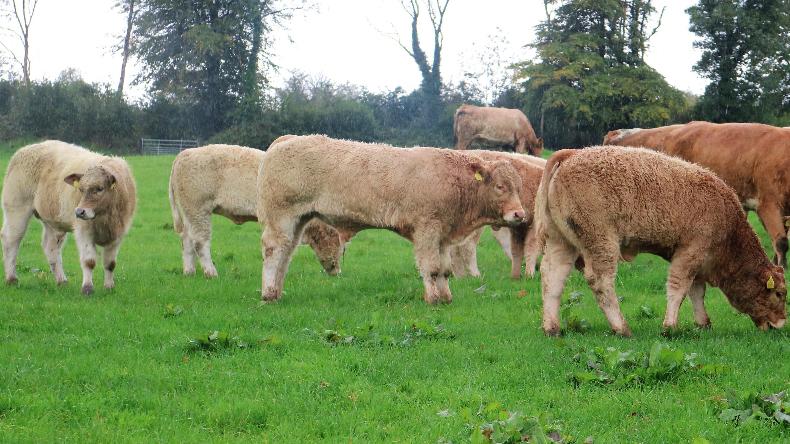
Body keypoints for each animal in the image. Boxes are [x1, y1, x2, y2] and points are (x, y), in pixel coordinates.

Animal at [1, 140, 137, 295]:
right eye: (81, 189)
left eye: (100, 188)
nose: (79, 211)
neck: (105, 217)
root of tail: (26, 148)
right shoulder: (83, 231)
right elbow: (89, 261)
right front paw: (87, 288)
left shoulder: (118, 233)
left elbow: (110, 263)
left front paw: (109, 287)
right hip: (16, 209)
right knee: (11, 240)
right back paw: (11, 279)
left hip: (51, 221)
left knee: (50, 247)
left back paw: (62, 281)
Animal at [168, 143, 347, 277]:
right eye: (340, 246)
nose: (337, 271)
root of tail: (184, 153)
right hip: (198, 209)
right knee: (200, 241)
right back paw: (211, 273)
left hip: (190, 213)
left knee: (186, 239)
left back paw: (189, 272)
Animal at [257, 135, 526, 304]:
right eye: (500, 186)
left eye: (518, 187)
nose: (519, 214)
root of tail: (287, 139)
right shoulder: (427, 229)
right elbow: (431, 267)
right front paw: (433, 299)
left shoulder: (443, 235)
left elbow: (445, 269)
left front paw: (446, 297)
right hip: (281, 216)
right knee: (274, 251)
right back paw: (268, 294)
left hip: (298, 220)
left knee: (286, 253)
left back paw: (277, 291)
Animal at [536, 146, 786, 336]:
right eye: (779, 293)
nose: (781, 323)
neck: (728, 219)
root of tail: (570, 154)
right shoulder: (690, 252)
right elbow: (679, 287)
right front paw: (670, 326)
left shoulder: (697, 260)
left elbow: (697, 291)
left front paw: (703, 323)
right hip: (601, 243)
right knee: (601, 281)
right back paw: (621, 328)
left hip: (561, 242)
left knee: (553, 277)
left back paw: (552, 327)